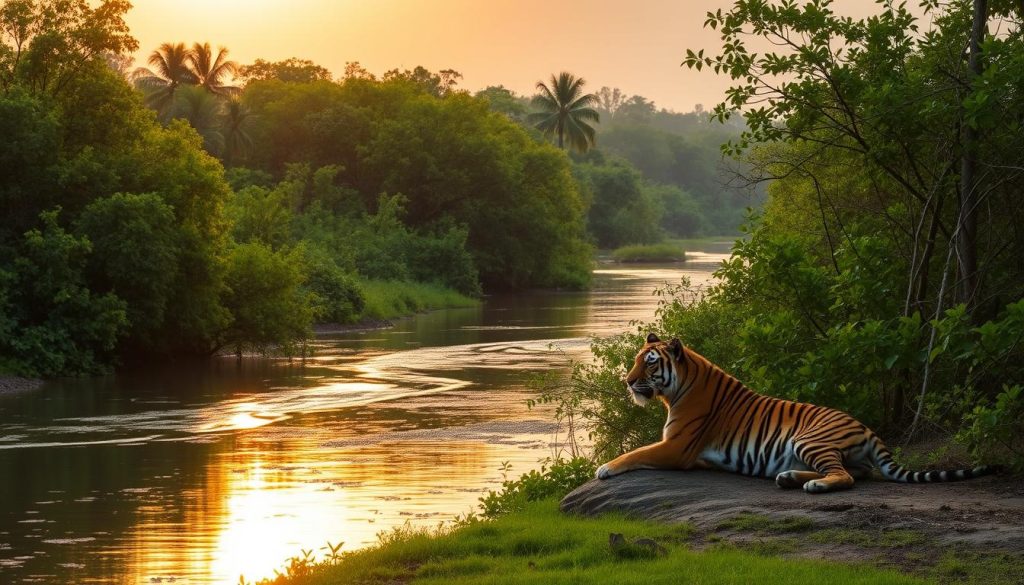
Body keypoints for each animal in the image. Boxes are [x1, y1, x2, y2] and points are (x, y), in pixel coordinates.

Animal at [595, 333, 1000, 493]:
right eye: (636, 360)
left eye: (649, 363)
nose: (627, 382)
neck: (680, 387)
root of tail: (867, 427)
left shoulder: (677, 447)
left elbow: (635, 452)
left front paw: (604, 468)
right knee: (859, 472)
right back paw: (789, 477)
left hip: (809, 439)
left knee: (846, 477)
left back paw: (811, 484)